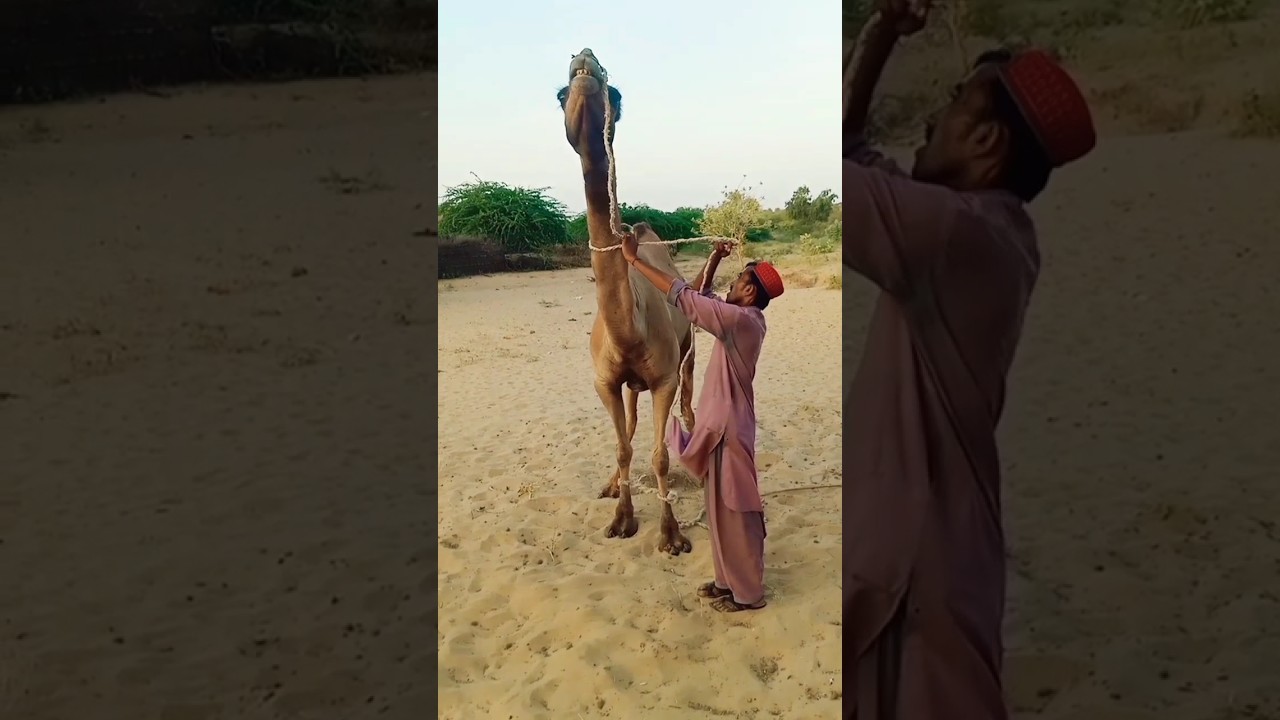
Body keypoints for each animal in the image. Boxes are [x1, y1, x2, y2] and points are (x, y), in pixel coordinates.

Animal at [556, 48, 696, 556]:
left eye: (616, 95)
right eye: (560, 94)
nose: (584, 61)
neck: (627, 331)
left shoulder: (663, 378)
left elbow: (659, 455)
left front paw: (671, 534)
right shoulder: (604, 380)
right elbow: (623, 445)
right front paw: (621, 516)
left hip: (684, 352)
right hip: (629, 385)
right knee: (631, 426)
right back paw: (612, 484)